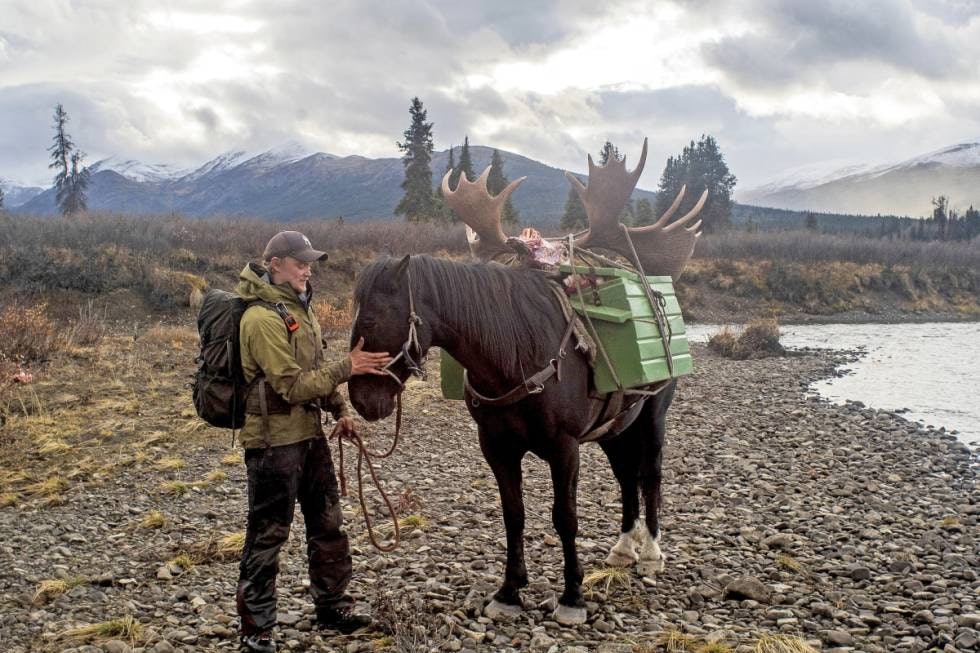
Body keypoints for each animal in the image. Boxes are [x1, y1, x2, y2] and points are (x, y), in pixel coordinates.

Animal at [348, 140, 700, 624]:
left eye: (373, 318)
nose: (362, 399)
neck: (511, 361)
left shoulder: (565, 446)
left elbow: (564, 517)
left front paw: (572, 596)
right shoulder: (496, 445)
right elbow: (512, 514)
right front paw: (509, 590)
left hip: (653, 416)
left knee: (651, 474)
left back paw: (650, 553)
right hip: (614, 426)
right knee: (627, 475)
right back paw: (623, 547)